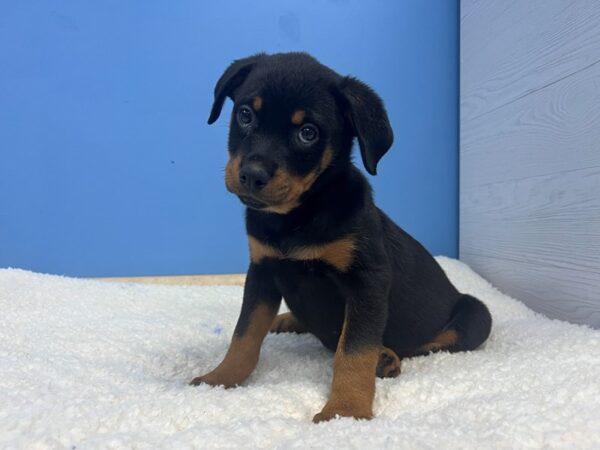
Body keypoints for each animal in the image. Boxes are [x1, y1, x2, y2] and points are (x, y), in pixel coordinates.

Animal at [192, 51, 492, 422]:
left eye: (308, 133)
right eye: (245, 114)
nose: (251, 175)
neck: (299, 216)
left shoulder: (367, 282)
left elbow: (354, 351)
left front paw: (345, 411)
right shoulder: (262, 270)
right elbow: (244, 334)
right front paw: (218, 379)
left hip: (477, 315)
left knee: (430, 343)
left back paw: (387, 357)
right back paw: (288, 319)